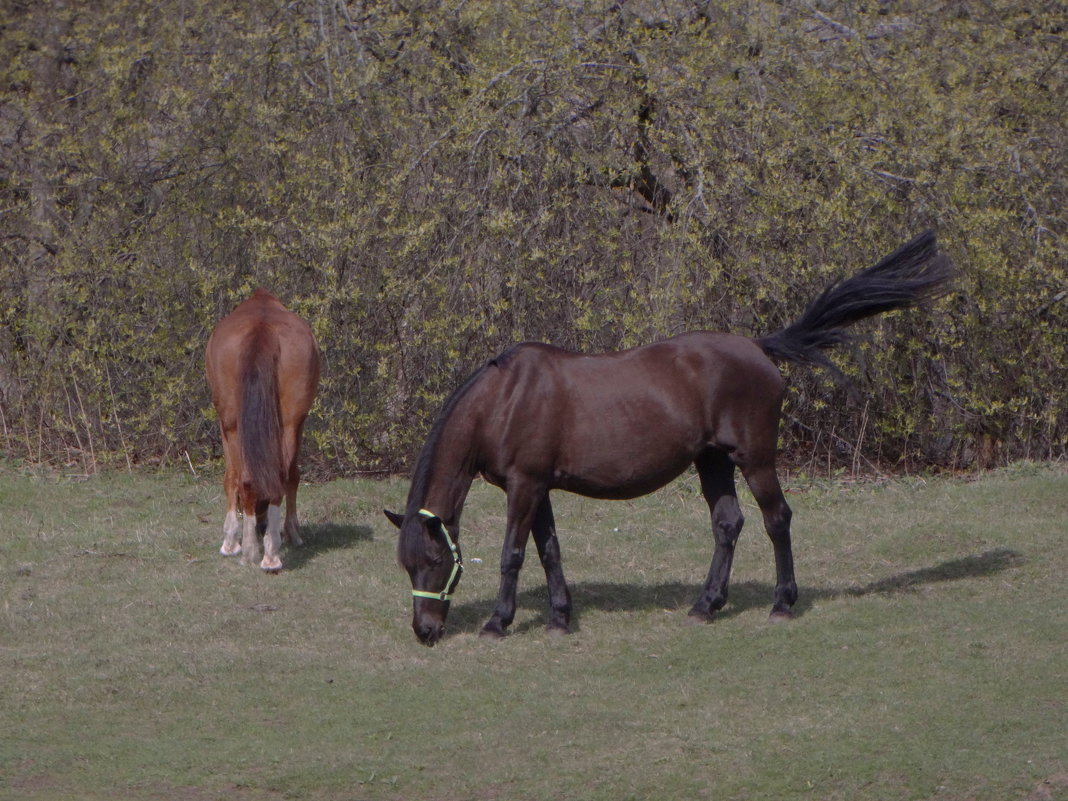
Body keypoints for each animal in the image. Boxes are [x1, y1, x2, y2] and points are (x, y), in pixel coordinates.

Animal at [205, 292, 318, 572]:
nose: (261, 522)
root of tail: (262, 327)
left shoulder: (223, 424)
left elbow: (230, 477)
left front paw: (230, 540)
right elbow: (293, 475)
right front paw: (292, 532)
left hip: (234, 423)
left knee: (243, 477)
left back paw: (249, 548)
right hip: (289, 422)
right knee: (281, 476)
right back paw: (271, 554)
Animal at [388, 230, 956, 645]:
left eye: (435, 562)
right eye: (406, 565)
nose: (425, 631)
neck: (505, 398)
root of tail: (758, 347)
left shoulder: (525, 487)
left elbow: (512, 554)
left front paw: (498, 622)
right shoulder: (536, 487)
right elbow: (549, 551)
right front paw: (559, 617)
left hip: (756, 459)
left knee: (777, 520)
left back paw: (781, 603)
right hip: (712, 461)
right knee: (728, 525)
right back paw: (707, 605)